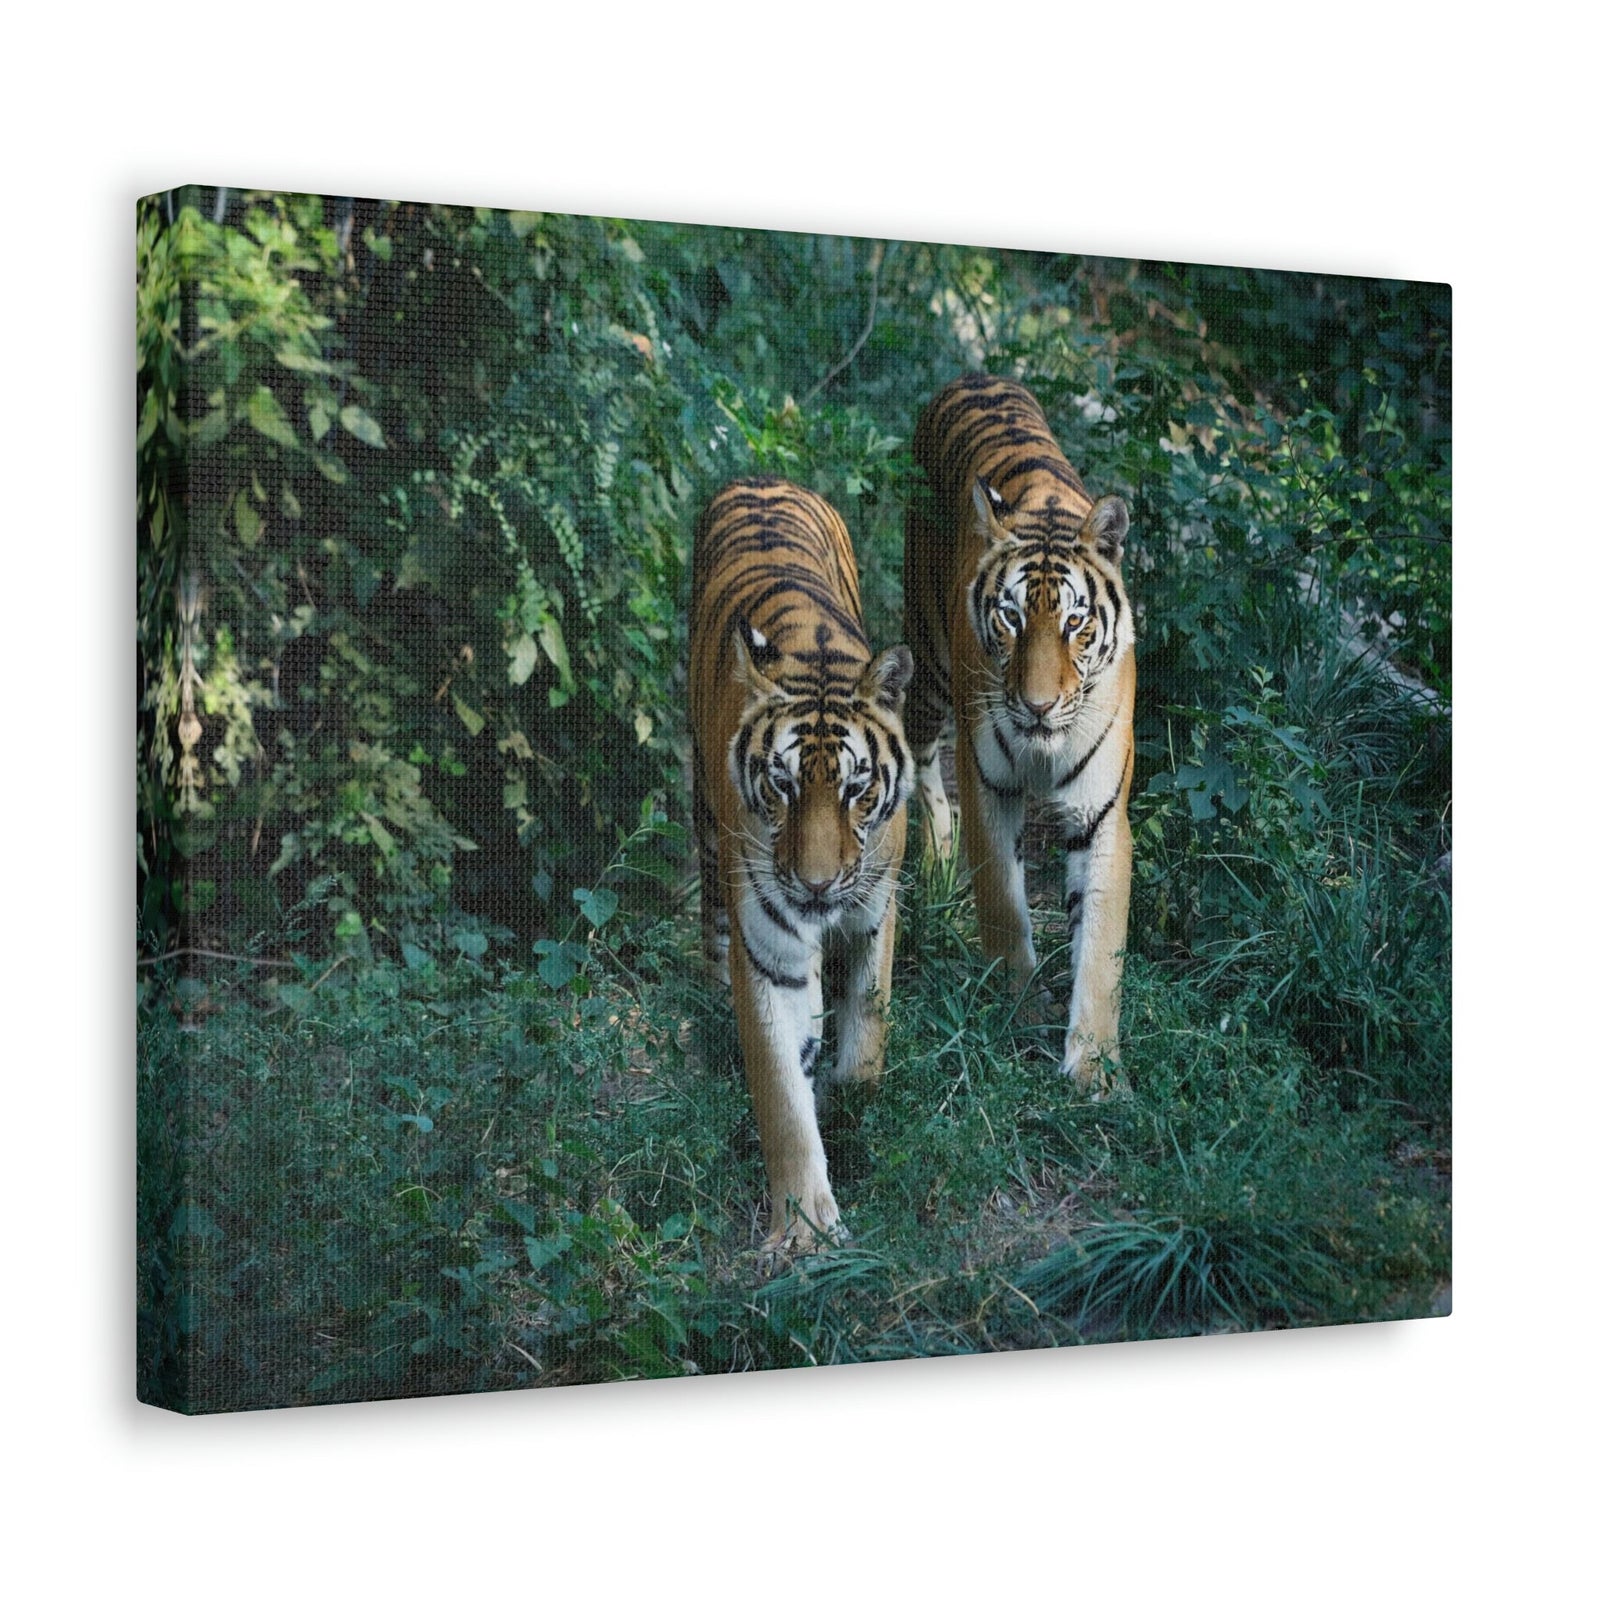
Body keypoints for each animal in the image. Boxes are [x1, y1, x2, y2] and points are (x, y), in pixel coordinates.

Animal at [689, 477, 915, 1253]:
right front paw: (805, 1229)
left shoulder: (876, 907)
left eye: (855, 789)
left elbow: (867, 1035)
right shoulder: (769, 948)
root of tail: (762, 479)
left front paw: (853, 1108)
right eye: (782, 785)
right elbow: (783, 1095)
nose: (815, 885)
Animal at [902, 374, 1135, 1089]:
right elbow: (1004, 906)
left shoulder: (1102, 812)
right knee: (923, 761)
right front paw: (1022, 1010)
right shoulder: (990, 788)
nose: (1035, 707)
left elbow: (1100, 947)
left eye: (1074, 624)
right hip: (929, 664)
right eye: (1010, 618)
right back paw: (937, 858)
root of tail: (976, 376)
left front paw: (1094, 1067)